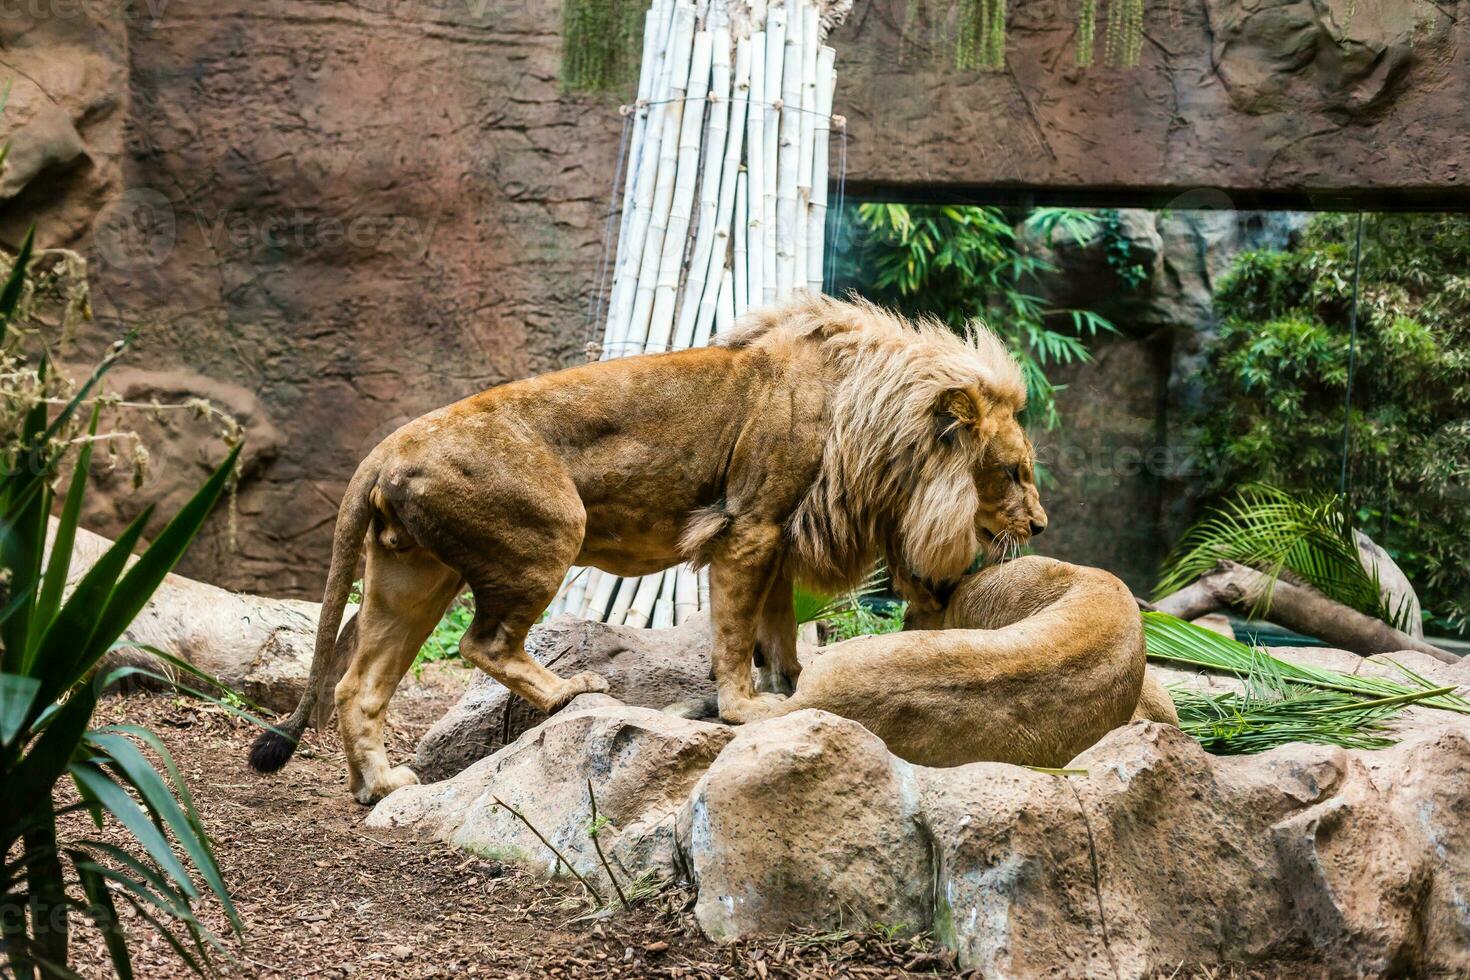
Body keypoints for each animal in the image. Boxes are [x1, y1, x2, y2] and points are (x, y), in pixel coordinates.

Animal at [249, 295, 1046, 799]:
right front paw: (746, 709)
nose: (1039, 526)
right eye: (1014, 471)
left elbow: (777, 631)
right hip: (551, 529)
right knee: (483, 643)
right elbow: (734, 635)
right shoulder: (748, 527)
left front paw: (793, 689)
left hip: (414, 573)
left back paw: (379, 787)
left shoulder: (778, 540)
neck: (872, 427)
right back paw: (569, 691)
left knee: (359, 684)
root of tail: (388, 446)